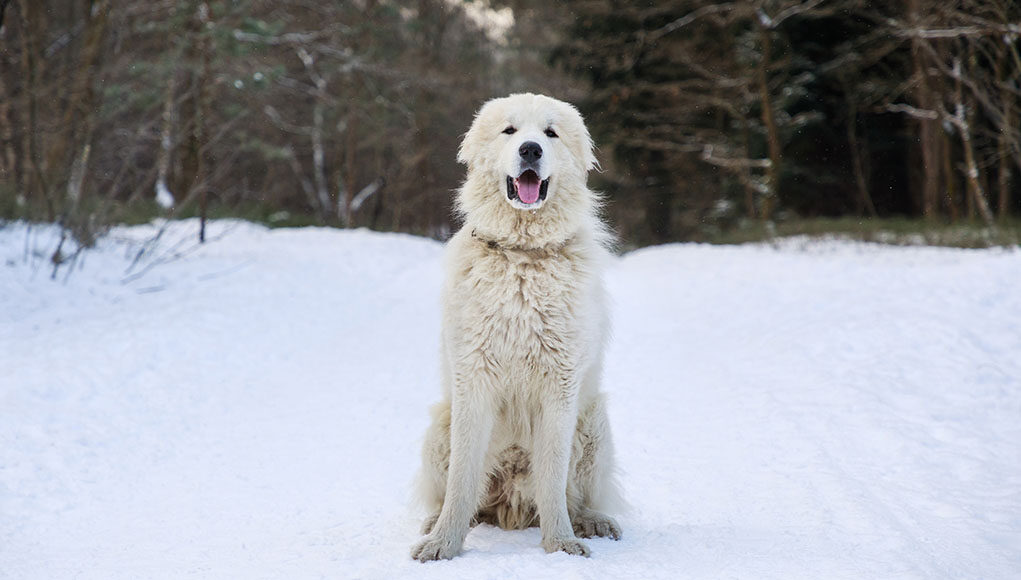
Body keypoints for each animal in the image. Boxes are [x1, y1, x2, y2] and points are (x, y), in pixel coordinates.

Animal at [408, 93, 616, 563]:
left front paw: (560, 545)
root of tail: (512, 505)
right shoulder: (473, 380)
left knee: (578, 495)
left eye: (551, 133)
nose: (531, 150)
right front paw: (443, 543)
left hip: (594, 421)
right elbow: (462, 479)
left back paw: (592, 521)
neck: (522, 254)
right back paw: (437, 522)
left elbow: (553, 479)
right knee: (462, 495)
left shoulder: (561, 386)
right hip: (440, 425)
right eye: (510, 131)